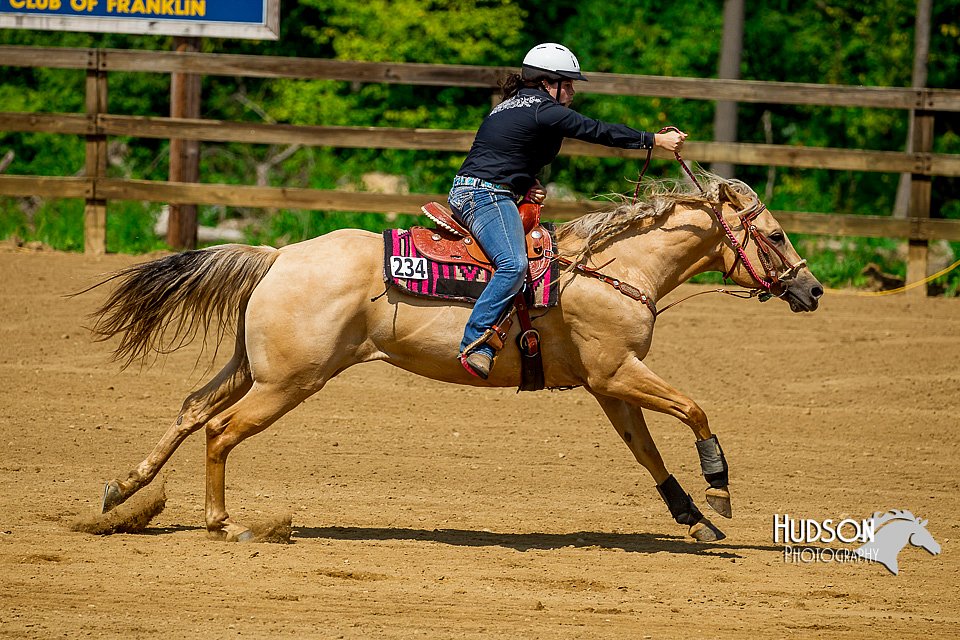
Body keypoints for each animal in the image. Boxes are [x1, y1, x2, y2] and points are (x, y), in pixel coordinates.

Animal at [90, 172, 820, 544]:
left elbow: (646, 452)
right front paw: (719, 490)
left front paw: (692, 518)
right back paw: (227, 524)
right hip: (289, 381)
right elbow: (696, 410)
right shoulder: (619, 373)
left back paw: (124, 492)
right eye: (777, 235)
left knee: (191, 410)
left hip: (254, 367)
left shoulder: (607, 384)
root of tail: (279, 254)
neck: (613, 267)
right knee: (219, 430)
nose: (812, 290)